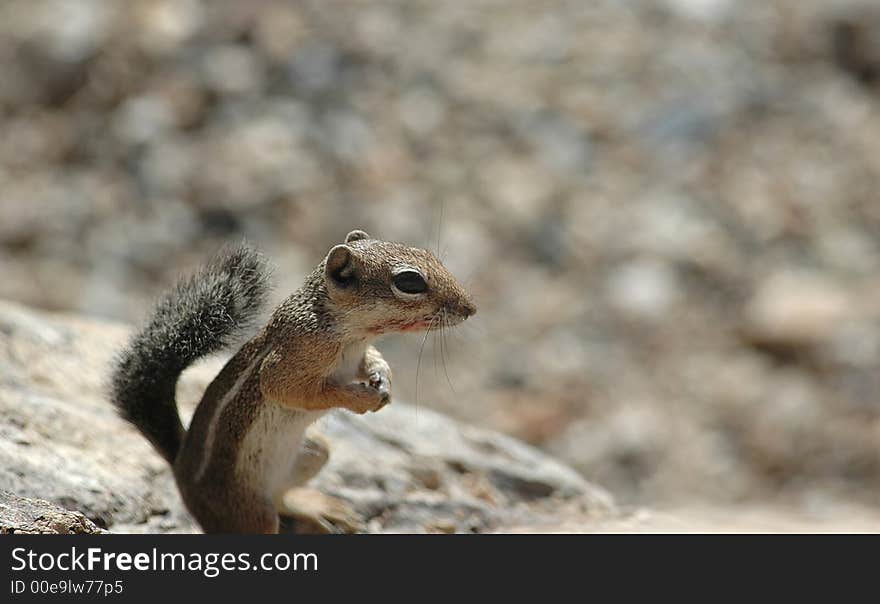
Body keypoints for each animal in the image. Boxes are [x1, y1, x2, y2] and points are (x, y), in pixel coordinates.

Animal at [111, 231, 482, 532]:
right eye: (410, 282)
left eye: (429, 255)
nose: (471, 308)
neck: (350, 333)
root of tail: (179, 467)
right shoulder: (288, 362)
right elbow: (295, 390)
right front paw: (360, 398)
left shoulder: (359, 354)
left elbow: (372, 360)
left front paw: (383, 379)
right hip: (247, 511)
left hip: (314, 452)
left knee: (282, 497)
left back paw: (317, 508)